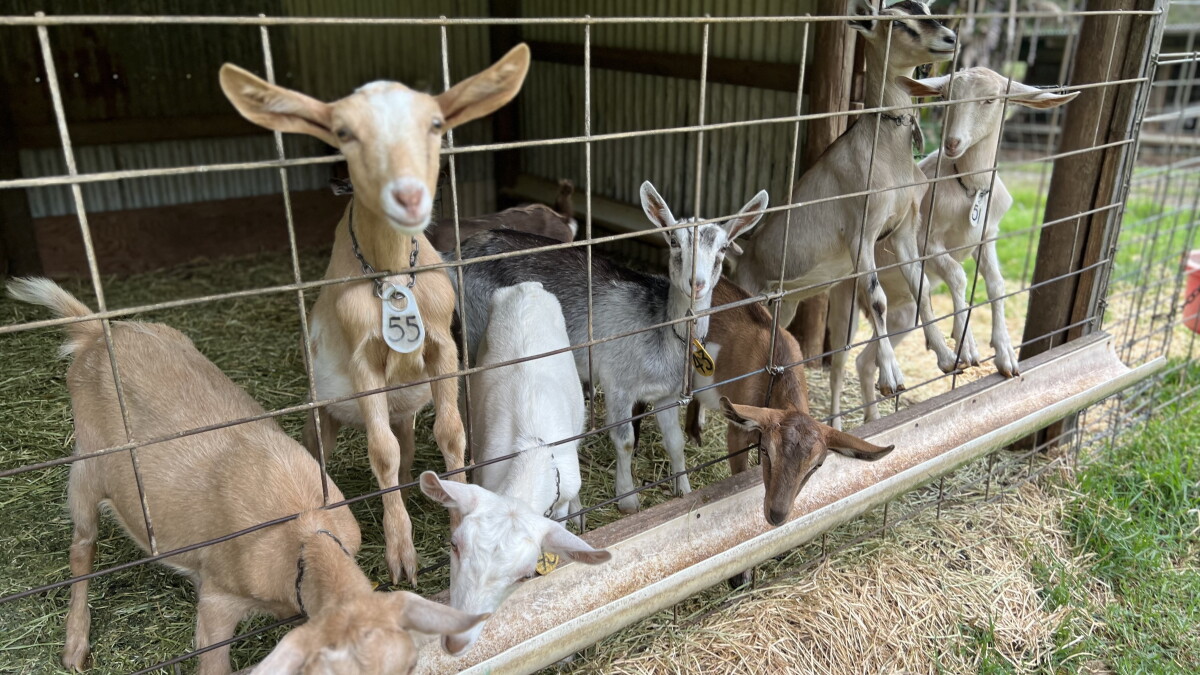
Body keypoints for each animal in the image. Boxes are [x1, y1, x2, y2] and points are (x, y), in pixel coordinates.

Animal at [7, 278, 486, 675]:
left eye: (410, 663)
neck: (305, 531)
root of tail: (95, 332)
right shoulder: (218, 603)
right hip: (85, 465)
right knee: (81, 549)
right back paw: (75, 647)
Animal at [219, 45, 530, 587]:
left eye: (435, 123)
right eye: (343, 132)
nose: (407, 196)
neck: (389, 272)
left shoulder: (442, 344)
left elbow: (451, 433)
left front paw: (458, 517)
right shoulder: (363, 359)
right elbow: (380, 451)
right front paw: (401, 556)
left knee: (405, 451)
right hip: (321, 413)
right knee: (325, 455)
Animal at [454, 182, 768, 513]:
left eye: (722, 248)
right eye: (674, 241)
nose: (697, 283)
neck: (660, 329)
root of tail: (463, 249)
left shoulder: (667, 394)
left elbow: (675, 441)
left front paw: (683, 488)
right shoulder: (619, 384)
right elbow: (625, 440)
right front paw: (628, 499)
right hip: (475, 330)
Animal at [733, 0, 962, 399]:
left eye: (927, 8)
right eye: (895, 23)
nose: (950, 38)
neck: (885, 153)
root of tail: (740, 262)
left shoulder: (903, 230)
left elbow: (921, 290)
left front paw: (949, 357)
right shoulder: (862, 233)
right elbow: (877, 299)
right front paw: (892, 378)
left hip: (784, 307)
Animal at [827, 68, 1078, 427]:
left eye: (991, 99)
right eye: (947, 96)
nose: (952, 143)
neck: (968, 187)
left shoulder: (986, 236)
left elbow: (995, 284)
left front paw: (1005, 354)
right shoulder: (926, 241)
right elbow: (957, 275)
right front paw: (967, 344)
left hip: (904, 316)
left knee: (865, 360)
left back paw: (874, 416)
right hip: (844, 301)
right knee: (838, 364)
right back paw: (837, 423)